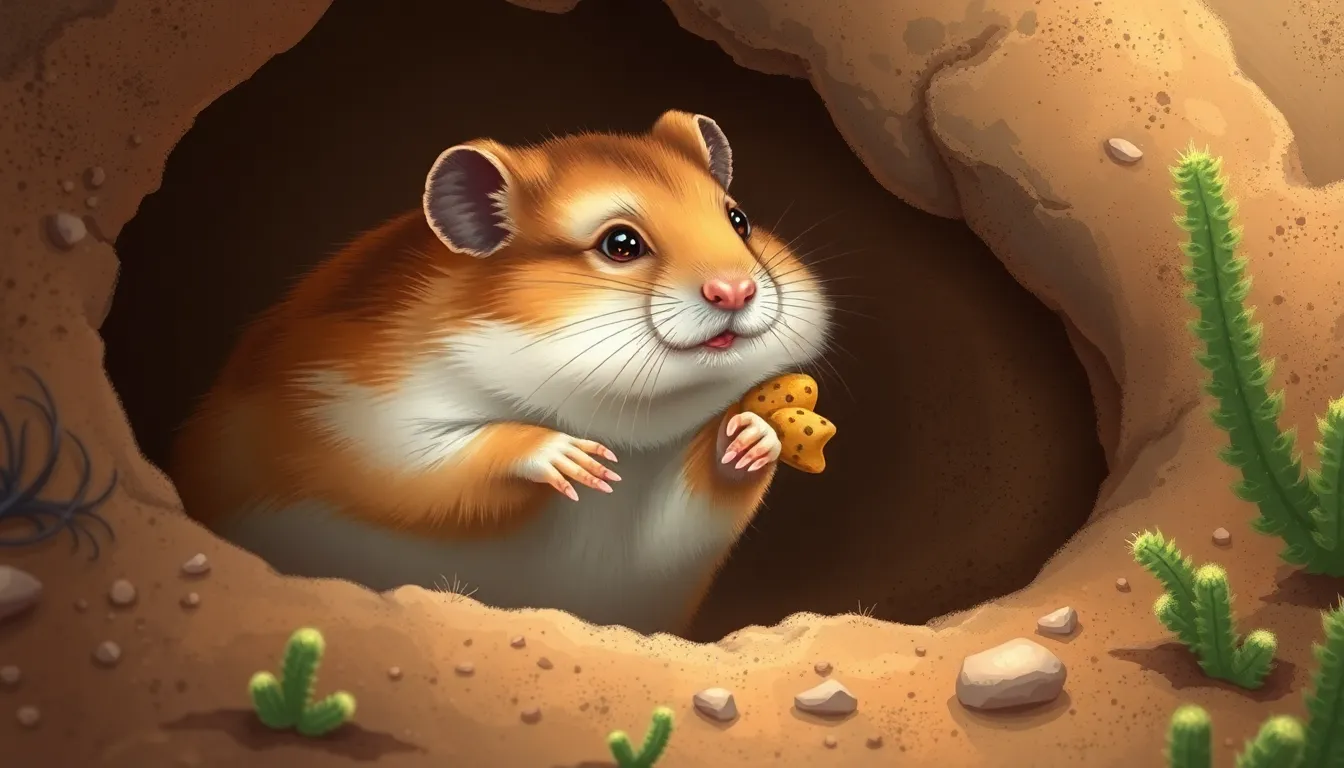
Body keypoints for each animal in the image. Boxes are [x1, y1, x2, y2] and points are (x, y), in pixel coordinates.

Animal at [168, 110, 832, 635]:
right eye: (620, 244)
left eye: (739, 219)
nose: (737, 289)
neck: (625, 425)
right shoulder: (348, 418)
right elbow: (440, 462)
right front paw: (576, 460)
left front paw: (753, 434)